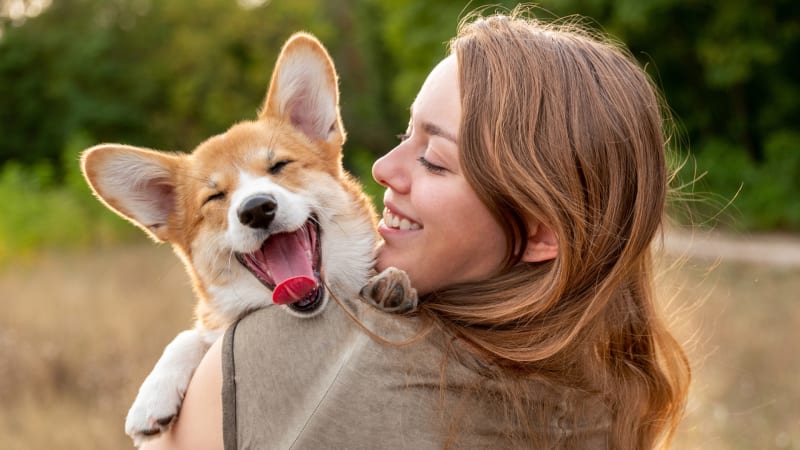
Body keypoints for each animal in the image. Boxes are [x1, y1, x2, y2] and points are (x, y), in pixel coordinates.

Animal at [82, 32, 418, 446]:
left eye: (279, 166)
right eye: (215, 197)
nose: (257, 209)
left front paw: (391, 285)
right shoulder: (216, 324)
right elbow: (191, 335)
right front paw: (152, 397)